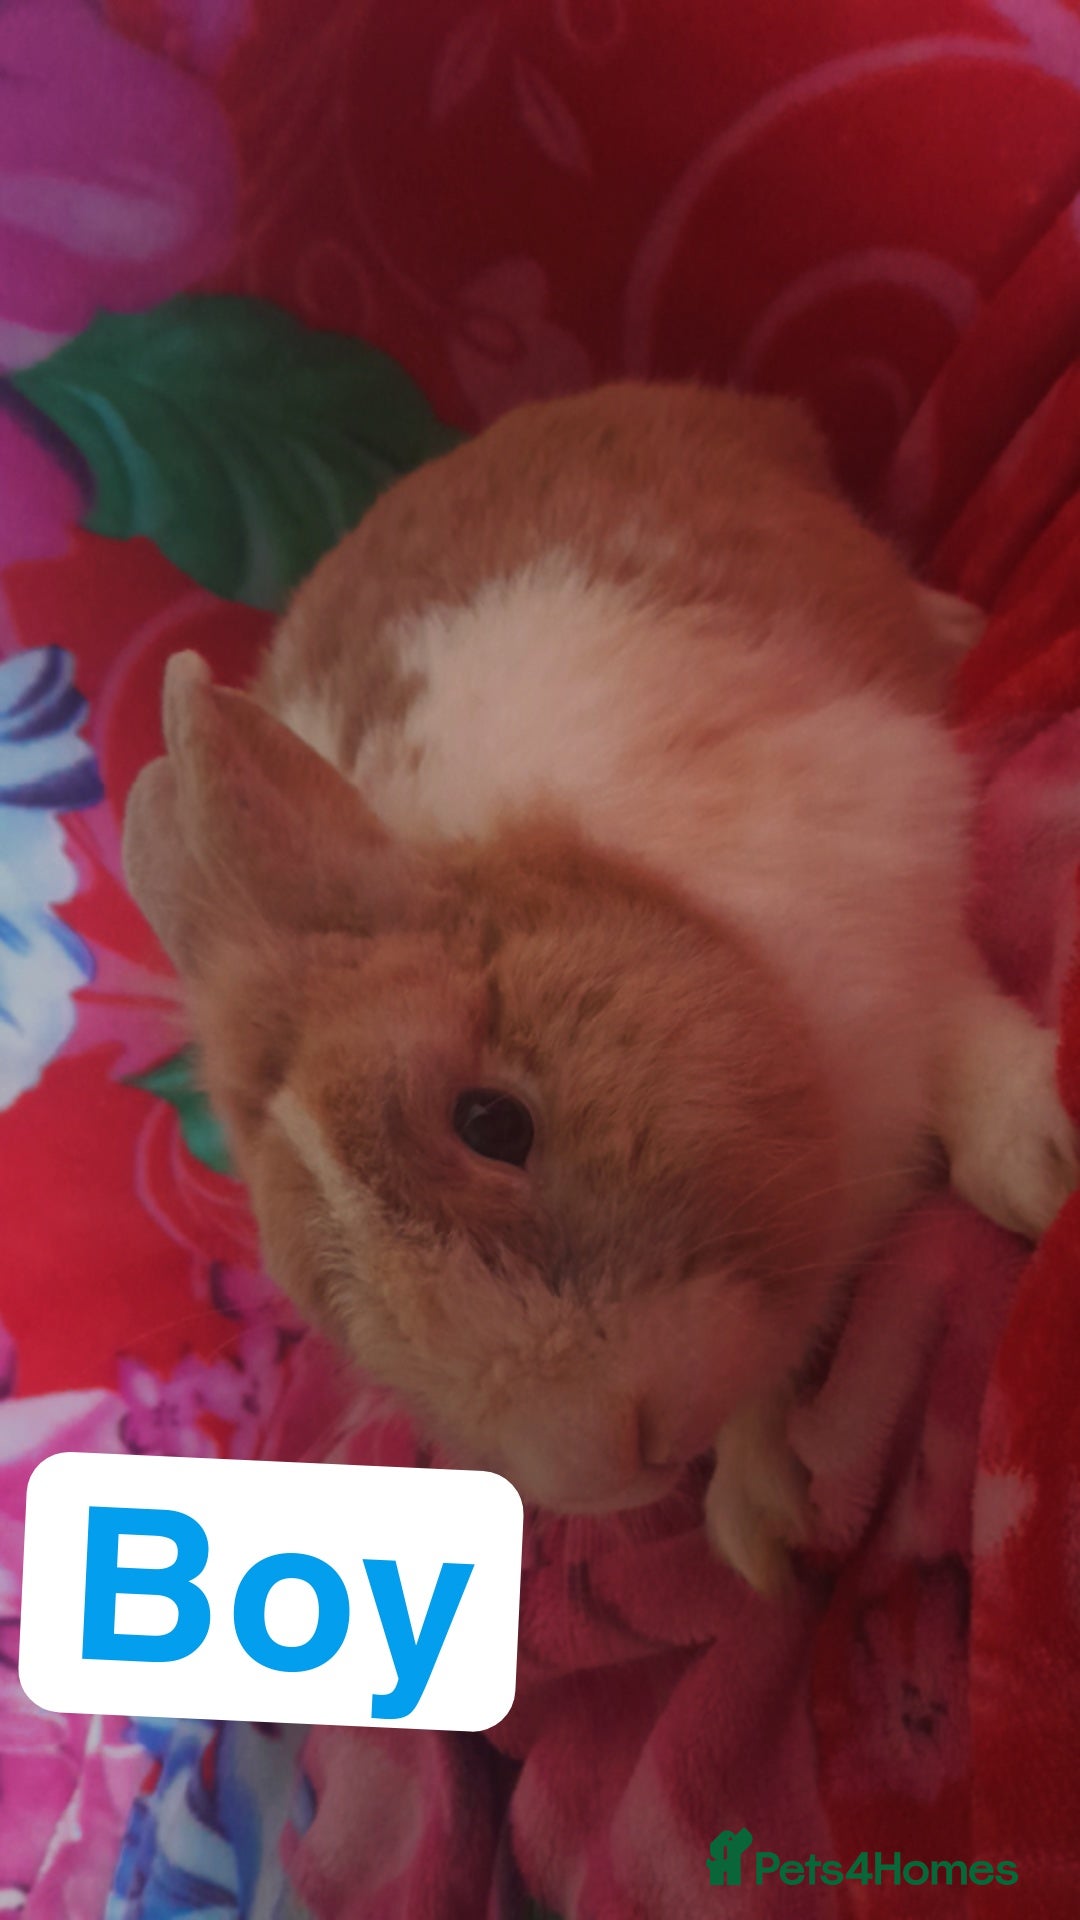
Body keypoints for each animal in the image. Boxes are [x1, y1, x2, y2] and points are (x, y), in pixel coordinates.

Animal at [123, 382, 1078, 1597]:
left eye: (494, 1122)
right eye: (334, 1313)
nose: (601, 1455)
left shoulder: (899, 885)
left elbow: (965, 1036)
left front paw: (1043, 1171)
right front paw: (761, 1527)